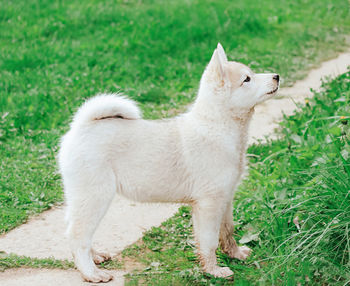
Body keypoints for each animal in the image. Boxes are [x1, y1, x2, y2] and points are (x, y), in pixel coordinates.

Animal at [58, 43, 280, 282]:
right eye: (247, 79)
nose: (276, 76)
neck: (218, 126)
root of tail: (80, 127)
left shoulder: (225, 199)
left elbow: (228, 231)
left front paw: (236, 254)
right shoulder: (209, 205)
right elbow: (209, 241)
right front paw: (214, 271)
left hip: (83, 198)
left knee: (77, 231)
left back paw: (96, 257)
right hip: (95, 196)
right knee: (78, 235)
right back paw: (91, 273)